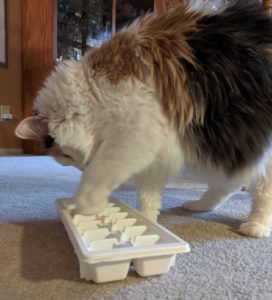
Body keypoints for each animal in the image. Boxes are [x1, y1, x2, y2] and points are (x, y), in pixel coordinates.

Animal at [15, 1, 272, 237]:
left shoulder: (136, 135)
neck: (92, 89)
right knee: (229, 182)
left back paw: (256, 226)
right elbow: (149, 195)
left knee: (262, 189)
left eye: (66, 156)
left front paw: (85, 204)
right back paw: (199, 205)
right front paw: (146, 219)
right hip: (223, 144)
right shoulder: (158, 149)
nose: (81, 165)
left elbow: (99, 173)